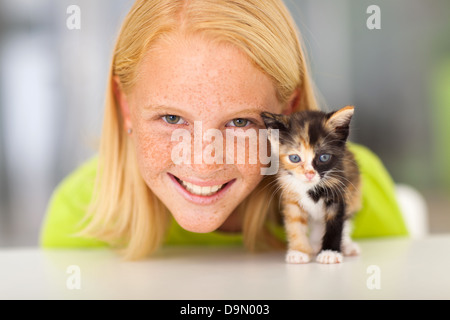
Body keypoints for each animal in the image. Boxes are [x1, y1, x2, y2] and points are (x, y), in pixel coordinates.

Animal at [260, 106, 362, 264]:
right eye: (294, 158)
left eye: (324, 157)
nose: (309, 174)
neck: (310, 187)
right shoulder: (291, 196)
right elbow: (295, 222)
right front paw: (299, 251)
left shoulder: (339, 192)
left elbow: (335, 223)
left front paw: (329, 252)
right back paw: (314, 245)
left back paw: (346, 246)